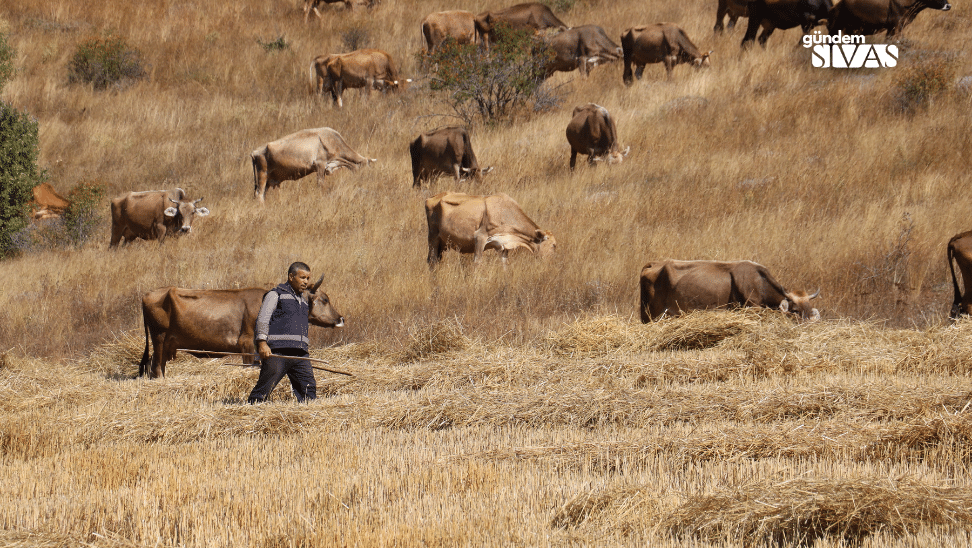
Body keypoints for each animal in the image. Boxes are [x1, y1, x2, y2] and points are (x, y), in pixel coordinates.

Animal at [139, 280, 344, 378]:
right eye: (325, 299)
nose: (341, 318)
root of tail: (148, 293)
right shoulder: (247, 344)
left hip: (165, 344)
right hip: (159, 338)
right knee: (156, 368)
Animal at [424, 193, 556, 268]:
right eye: (554, 245)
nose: (552, 262)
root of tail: (432, 197)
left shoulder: (502, 246)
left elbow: (505, 265)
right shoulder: (480, 238)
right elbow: (477, 263)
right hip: (433, 238)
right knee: (432, 261)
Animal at [636, 260, 820, 324]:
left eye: (810, 310)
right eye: (794, 310)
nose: (809, 324)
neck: (757, 280)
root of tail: (654, 263)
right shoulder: (752, 307)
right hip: (650, 314)